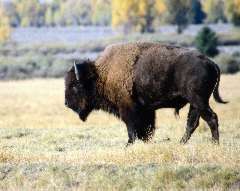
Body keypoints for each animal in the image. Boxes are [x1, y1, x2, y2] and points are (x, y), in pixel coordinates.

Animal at [64, 42, 227, 145]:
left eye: (75, 85)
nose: (66, 103)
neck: (102, 74)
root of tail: (211, 63)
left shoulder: (128, 109)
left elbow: (132, 129)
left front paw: (128, 145)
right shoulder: (146, 110)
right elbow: (146, 129)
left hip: (199, 100)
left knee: (211, 118)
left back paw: (214, 144)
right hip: (195, 104)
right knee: (193, 123)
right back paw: (181, 143)